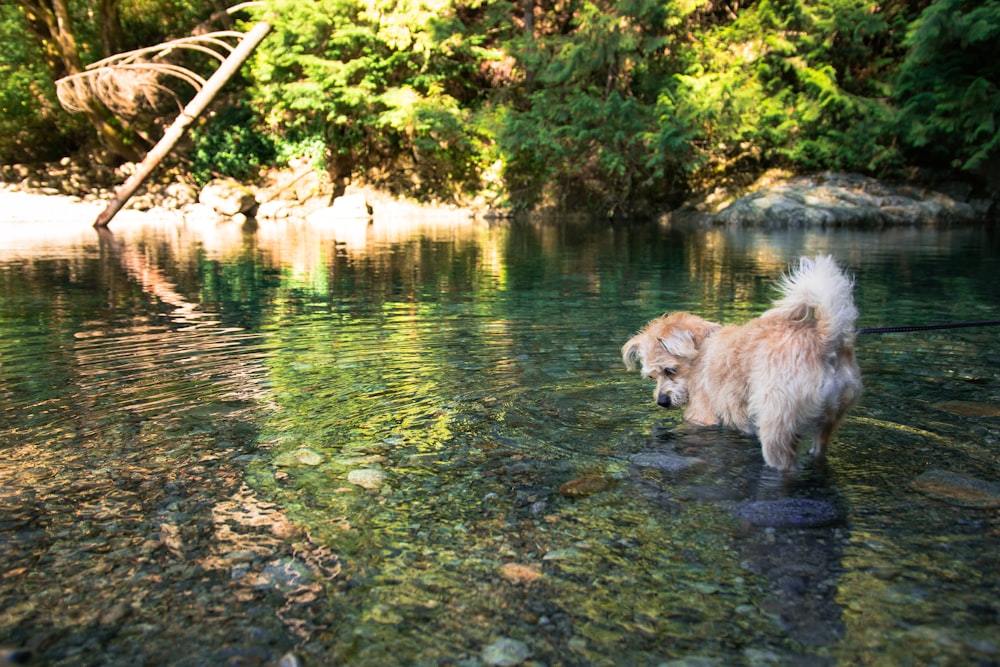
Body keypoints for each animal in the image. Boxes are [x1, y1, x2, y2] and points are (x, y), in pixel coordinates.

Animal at [620, 256, 864, 470]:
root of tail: (825, 340)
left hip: (776, 426)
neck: (702, 348)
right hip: (828, 421)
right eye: (652, 377)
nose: (661, 401)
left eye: (670, 370)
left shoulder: (701, 413)